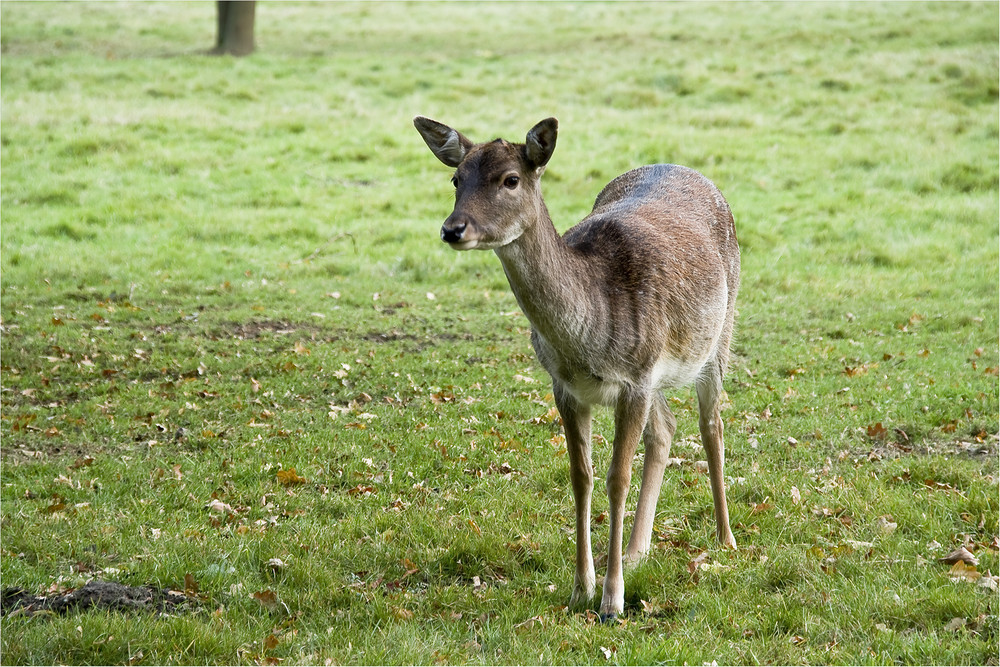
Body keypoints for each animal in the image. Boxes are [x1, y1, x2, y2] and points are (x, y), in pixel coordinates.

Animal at [414, 115, 744, 620]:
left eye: (511, 179)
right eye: (456, 179)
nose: (454, 228)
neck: (587, 339)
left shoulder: (636, 379)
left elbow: (615, 478)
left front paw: (612, 600)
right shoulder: (564, 387)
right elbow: (581, 478)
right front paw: (580, 589)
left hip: (718, 335)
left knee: (712, 425)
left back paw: (725, 539)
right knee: (666, 428)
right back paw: (637, 550)